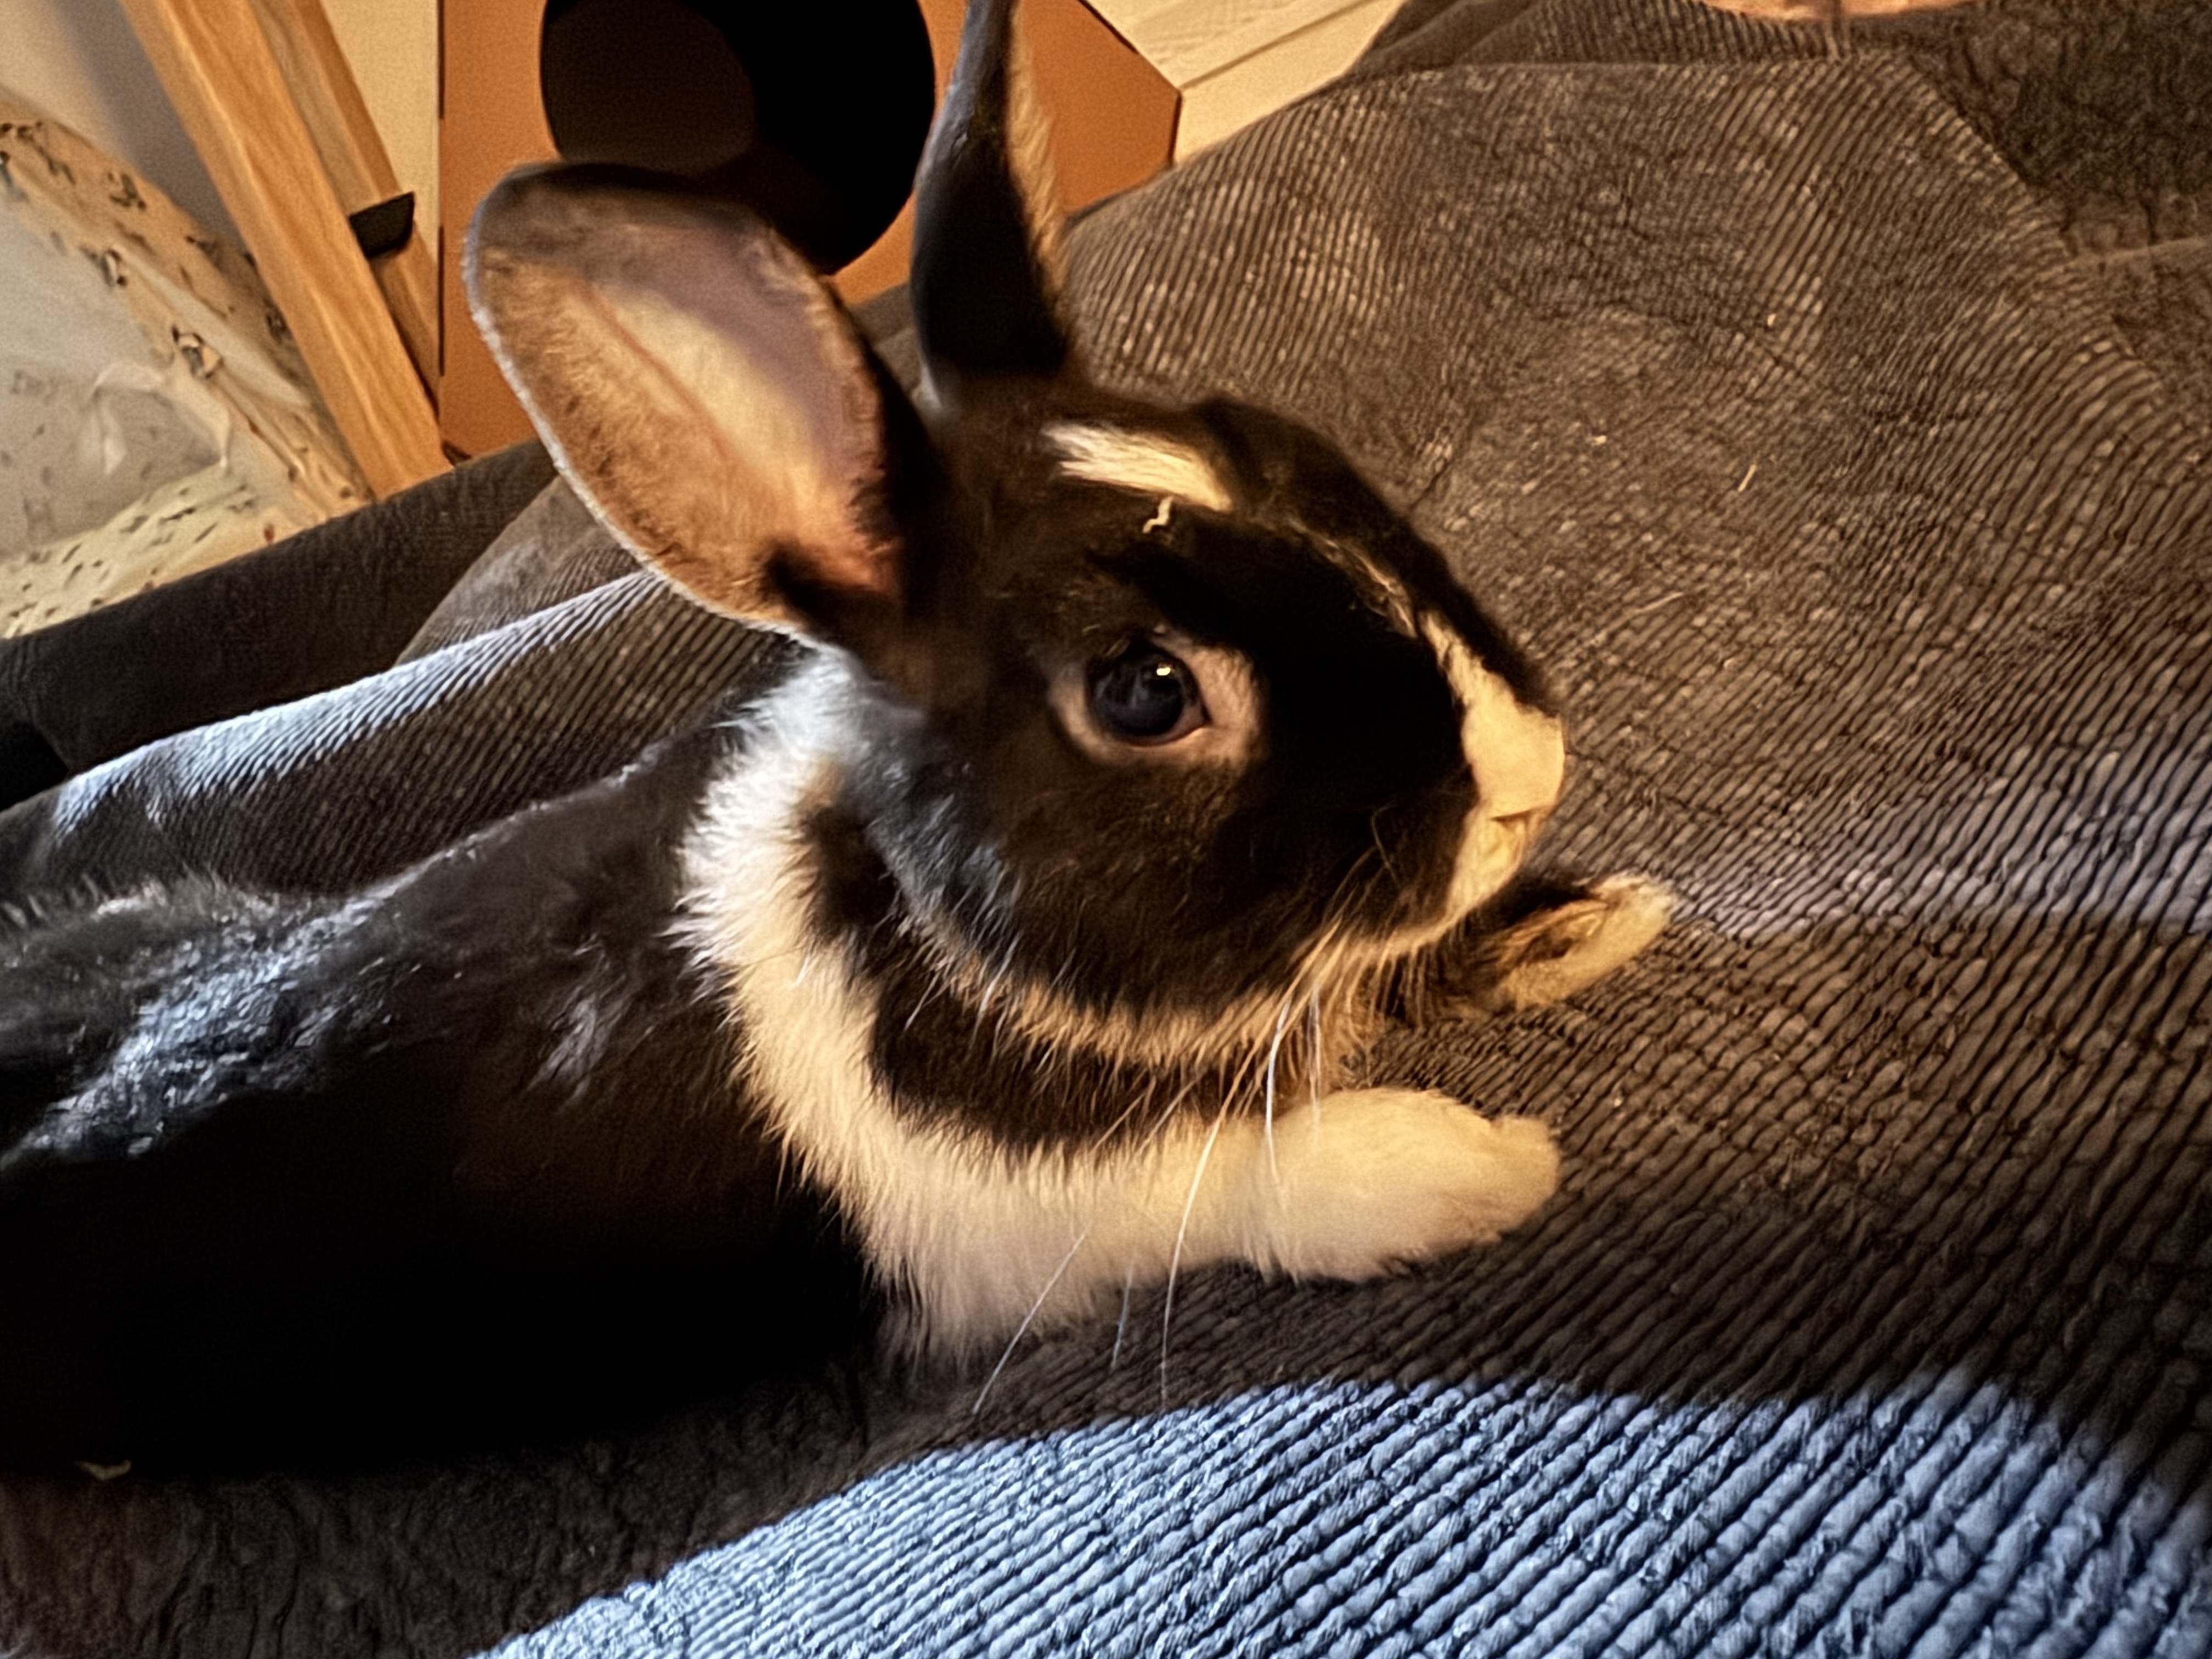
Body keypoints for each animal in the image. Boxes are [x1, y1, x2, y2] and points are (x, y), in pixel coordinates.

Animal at [0, 0, 1667, 1465]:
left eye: (1283, 442)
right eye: (1144, 693)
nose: (1525, 782)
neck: (920, 921)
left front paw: (1591, 920)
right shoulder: (1035, 1223)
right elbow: (1244, 1181)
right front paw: (1473, 1166)